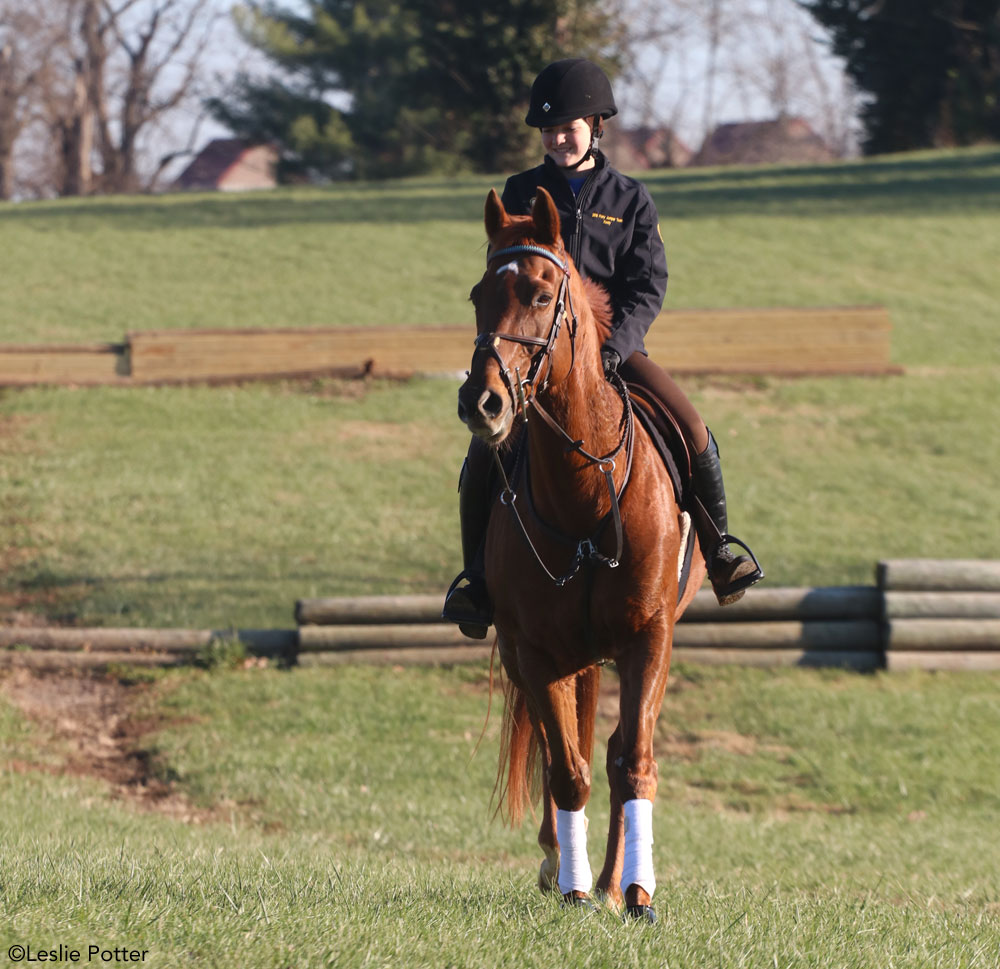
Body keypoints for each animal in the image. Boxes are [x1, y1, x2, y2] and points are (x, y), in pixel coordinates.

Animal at [458, 185, 708, 920]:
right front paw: (572, 888)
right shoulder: (538, 650)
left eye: (542, 294)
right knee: (557, 748)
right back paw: (561, 865)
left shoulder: (649, 636)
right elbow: (566, 769)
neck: (583, 494)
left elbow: (635, 760)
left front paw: (637, 893)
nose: (481, 403)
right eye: (479, 293)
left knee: (619, 750)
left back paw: (612, 878)